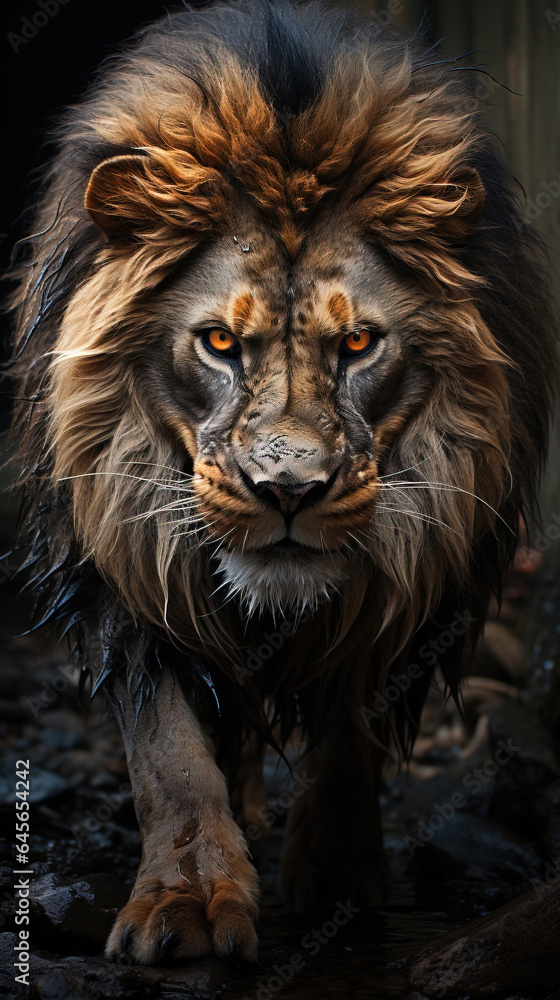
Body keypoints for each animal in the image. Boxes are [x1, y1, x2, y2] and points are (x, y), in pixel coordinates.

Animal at [7, 0, 556, 968]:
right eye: (220, 343)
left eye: (359, 343)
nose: (289, 491)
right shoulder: (122, 563)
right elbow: (170, 754)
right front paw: (187, 897)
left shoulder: (419, 573)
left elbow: (353, 722)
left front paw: (338, 875)